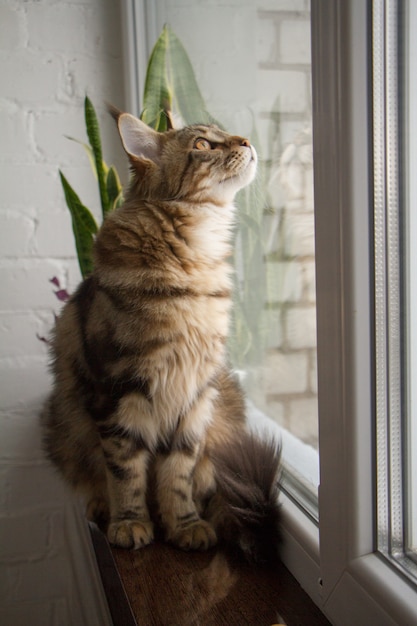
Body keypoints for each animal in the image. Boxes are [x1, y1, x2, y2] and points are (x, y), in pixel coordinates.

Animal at [40, 108, 280, 560]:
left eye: (225, 133)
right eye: (203, 144)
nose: (245, 141)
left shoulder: (194, 395)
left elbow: (177, 474)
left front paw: (184, 524)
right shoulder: (117, 392)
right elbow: (126, 472)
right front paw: (131, 522)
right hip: (62, 421)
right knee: (94, 478)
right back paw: (103, 509)